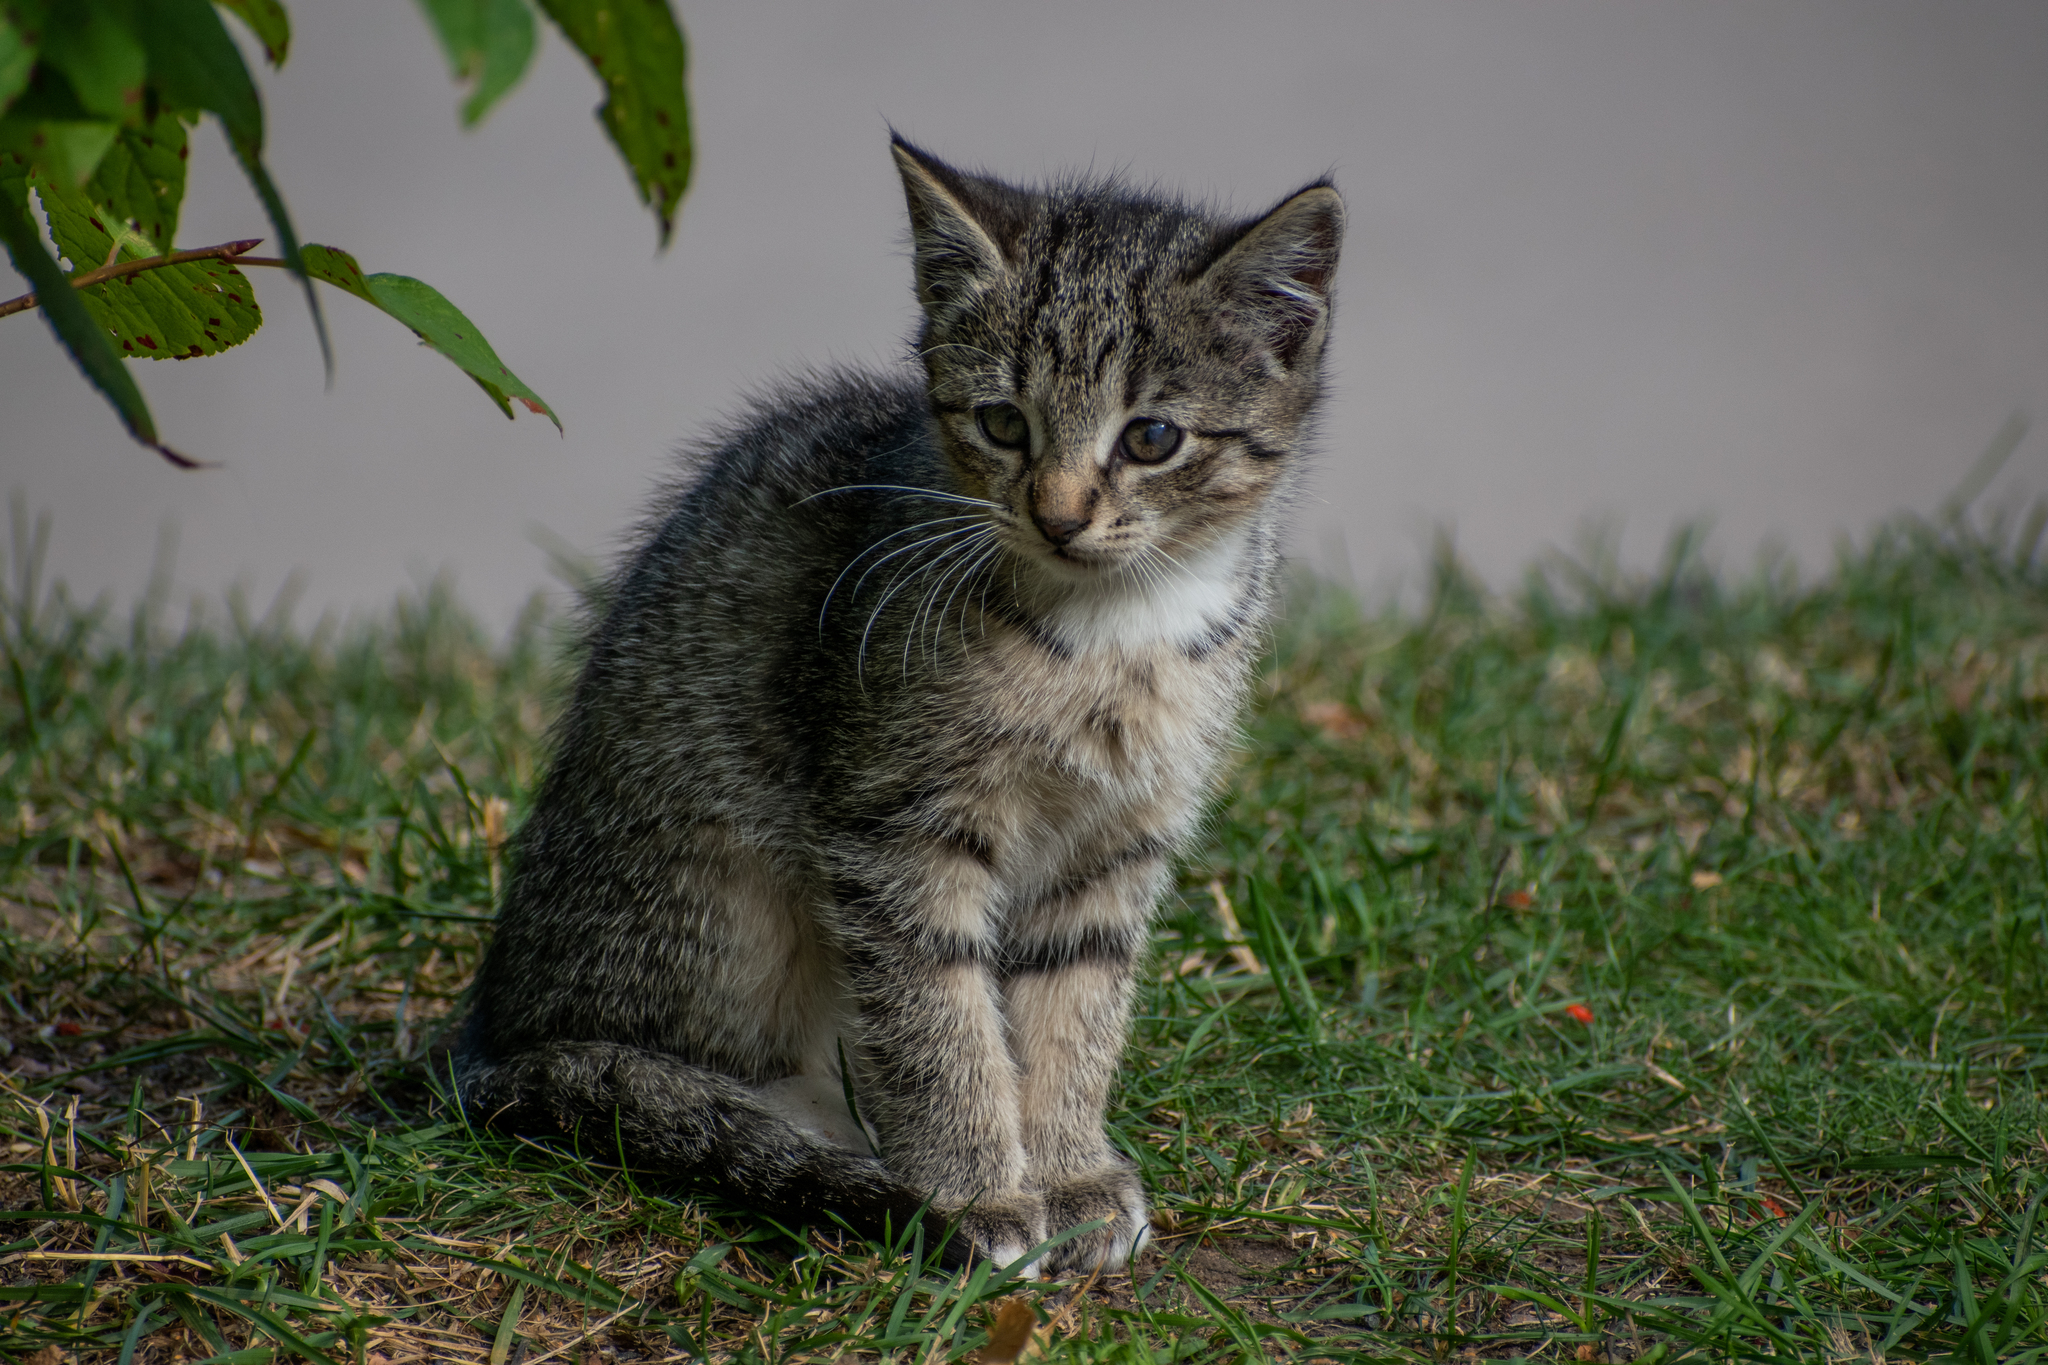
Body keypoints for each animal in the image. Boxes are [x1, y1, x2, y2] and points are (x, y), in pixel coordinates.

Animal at [452, 133, 1343, 1277]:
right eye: (1003, 423)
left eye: (1150, 437)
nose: (1057, 514)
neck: (1114, 630)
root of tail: (489, 1038)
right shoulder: (892, 829)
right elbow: (936, 1016)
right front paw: (977, 1189)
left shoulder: (1119, 840)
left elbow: (1079, 1007)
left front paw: (1069, 1170)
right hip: (715, 897)